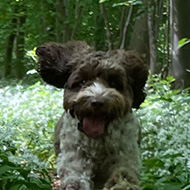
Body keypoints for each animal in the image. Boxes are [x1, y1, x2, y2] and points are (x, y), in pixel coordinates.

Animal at [36, 41, 148, 190]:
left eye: (114, 82)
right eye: (82, 81)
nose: (97, 102)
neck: (98, 141)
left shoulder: (125, 155)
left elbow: (123, 174)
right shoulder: (75, 157)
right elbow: (76, 178)